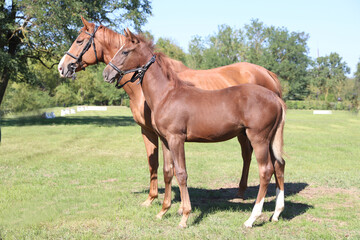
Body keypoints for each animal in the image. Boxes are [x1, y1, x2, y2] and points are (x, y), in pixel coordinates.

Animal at [102, 30, 286, 229]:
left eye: (125, 51)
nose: (106, 73)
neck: (166, 95)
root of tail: (276, 98)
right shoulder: (165, 140)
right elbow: (168, 171)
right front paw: (163, 211)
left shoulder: (176, 139)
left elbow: (181, 173)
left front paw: (184, 217)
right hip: (270, 140)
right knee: (279, 166)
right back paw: (276, 213)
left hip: (258, 138)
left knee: (265, 170)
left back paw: (252, 218)